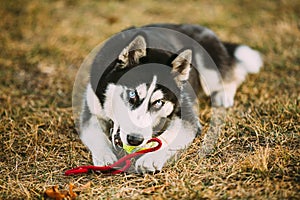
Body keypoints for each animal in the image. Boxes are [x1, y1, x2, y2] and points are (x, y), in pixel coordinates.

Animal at [78, 23, 262, 173]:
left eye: (159, 102)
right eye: (132, 94)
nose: (134, 139)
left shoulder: (187, 115)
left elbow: (168, 136)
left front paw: (150, 158)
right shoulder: (91, 108)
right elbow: (94, 132)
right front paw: (104, 156)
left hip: (209, 70)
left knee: (233, 73)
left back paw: (224, 94)